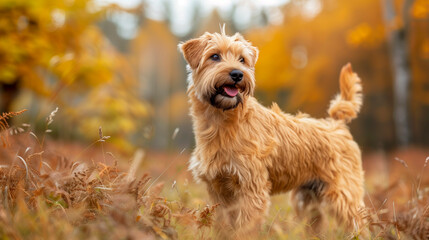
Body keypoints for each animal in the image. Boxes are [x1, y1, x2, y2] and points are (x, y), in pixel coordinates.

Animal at [180, 30, 364, 238]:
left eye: (242, 59)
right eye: (215, 56)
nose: (237, 74)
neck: (221, 122)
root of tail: (337, 124)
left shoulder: (251, 187)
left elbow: (246, 226)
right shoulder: (218, 189)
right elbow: (223, 223)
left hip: (344, 194)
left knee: (359, 222)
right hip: (307, 197)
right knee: (317, 222)